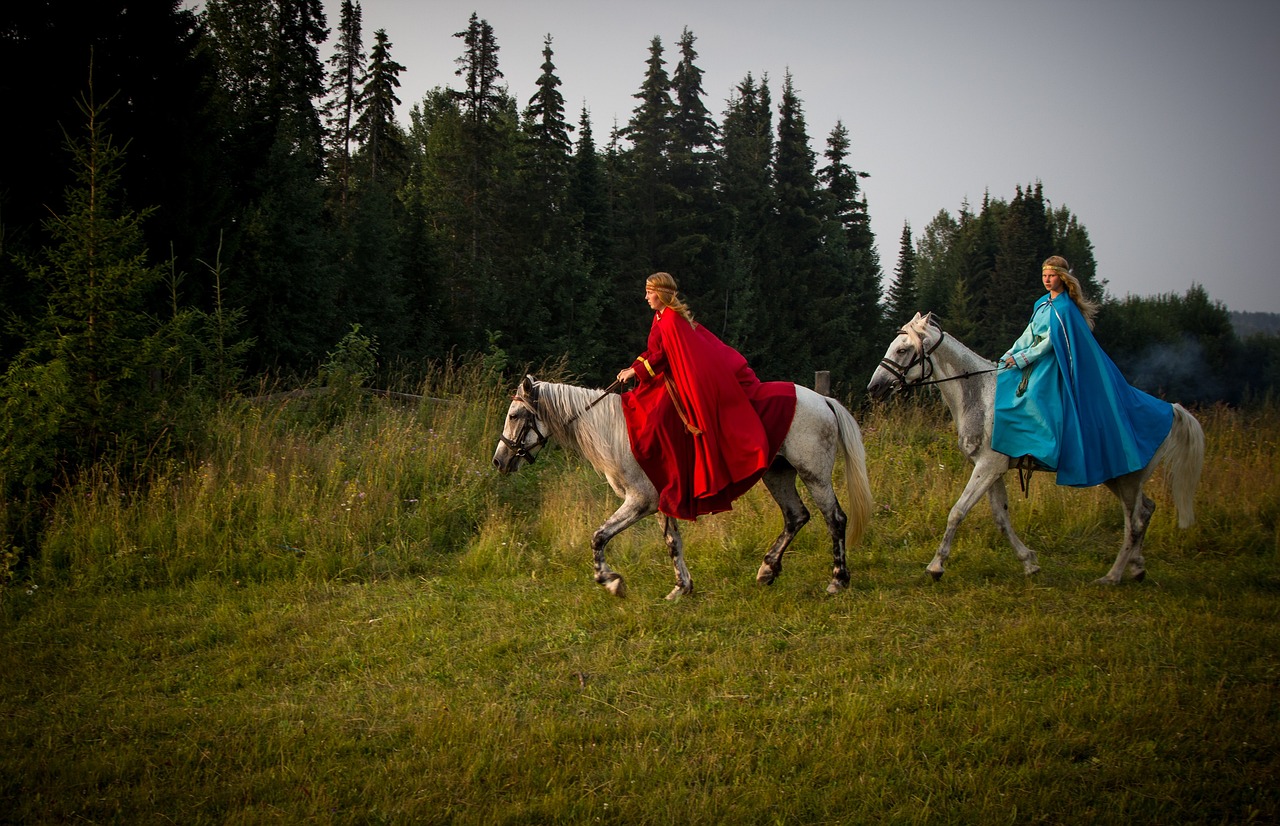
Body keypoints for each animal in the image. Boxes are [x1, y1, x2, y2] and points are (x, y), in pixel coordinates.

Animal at [488, 376, 870, 596]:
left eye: (515, 415)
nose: (499, 461)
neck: (615, 430)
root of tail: (823, 400)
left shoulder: (640, 500)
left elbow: (598, 537)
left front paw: (611, 581)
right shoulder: (659, 502)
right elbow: (673, 542)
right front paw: (681, 587)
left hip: (814, 473)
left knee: (835, 519)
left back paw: (838, 580)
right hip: (777, 473)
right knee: (796, 517)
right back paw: (767, 570)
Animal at [865, 312, 1203, 583]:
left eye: (903, 349)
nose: (874, 388)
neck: (978, 395)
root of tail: (1170, 410)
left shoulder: (988, 466)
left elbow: (957, 512)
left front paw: (936, 566)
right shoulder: (992, 469)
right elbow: (1001, 518)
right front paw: (1029, 563)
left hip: (1127, 479)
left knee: (1134, 521)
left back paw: (1113, 576)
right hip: (1119, 478)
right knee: (1145, 511)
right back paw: (1136, 567)